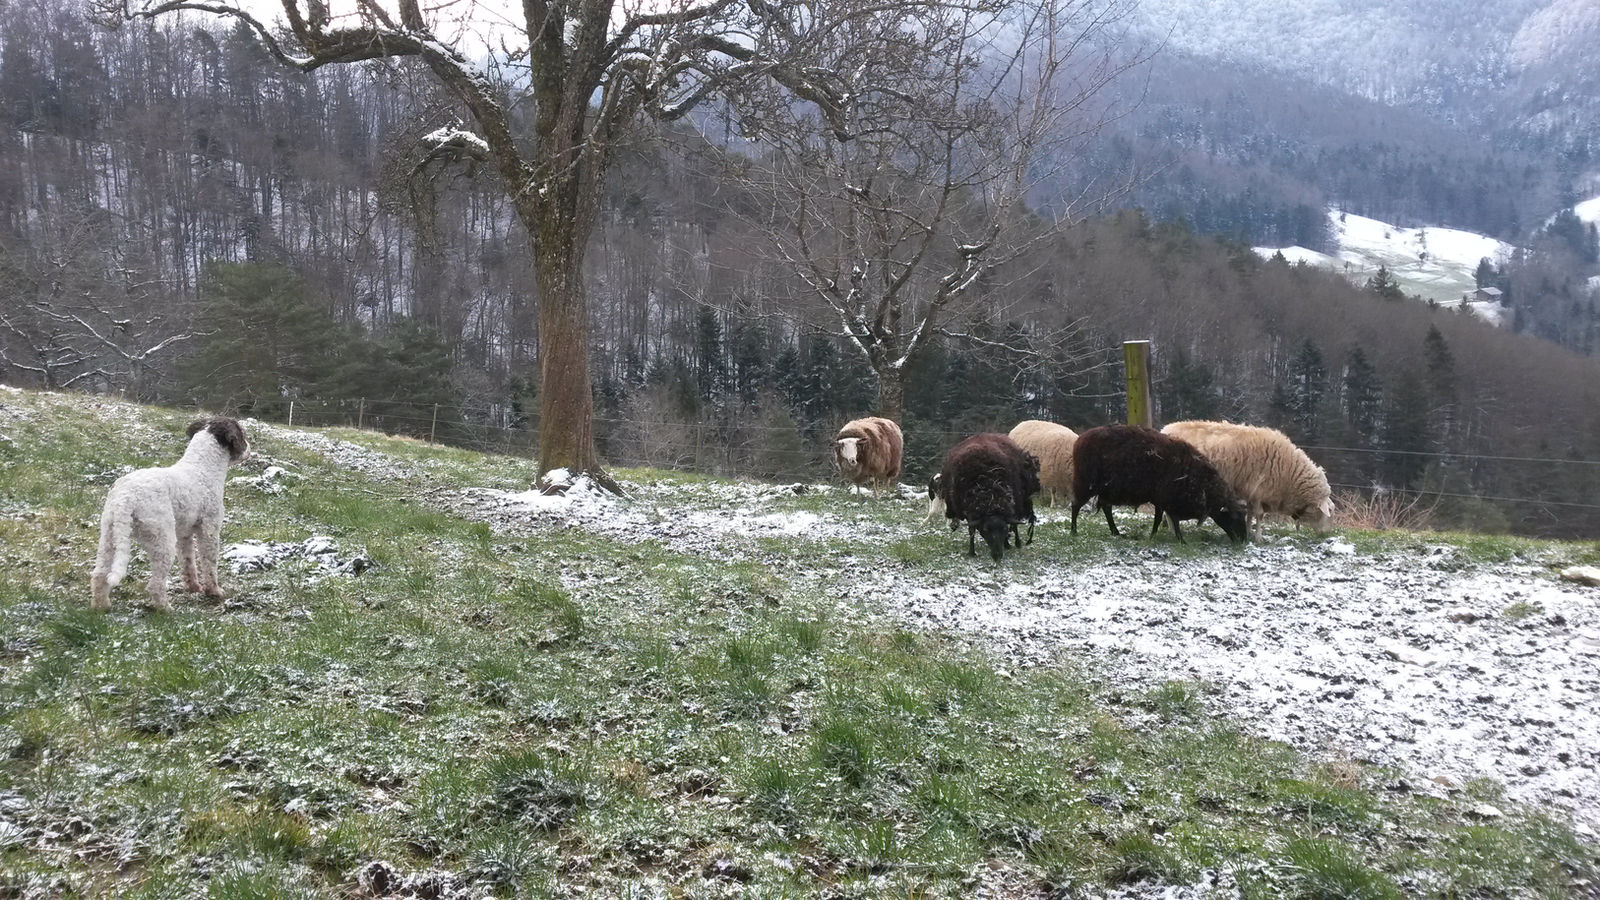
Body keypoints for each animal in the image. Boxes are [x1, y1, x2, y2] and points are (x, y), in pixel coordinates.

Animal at [1069, 424, 1248, 543]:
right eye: (1234, 518)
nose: (1243, 542)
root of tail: (1080, 439)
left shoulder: (1162, 500)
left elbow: (1158, 518)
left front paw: (1153, 535)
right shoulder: (1168, 499)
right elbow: (1172, 520)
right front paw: (1181, 540)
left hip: (1106, 489)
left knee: (1106, 508)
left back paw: (1115, 532)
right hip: (1085, 483)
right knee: (1075, 506)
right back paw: (1073, 531)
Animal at [1160, 420, 1334, 539]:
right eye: (1330, 511)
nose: (1325, 535)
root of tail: (1165, 429)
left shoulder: (1251, 492)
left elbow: (1250, 515)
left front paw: (1249, 532)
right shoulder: (1259, 490)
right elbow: (1259, 515)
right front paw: (1258, 537)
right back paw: (1171, 530)